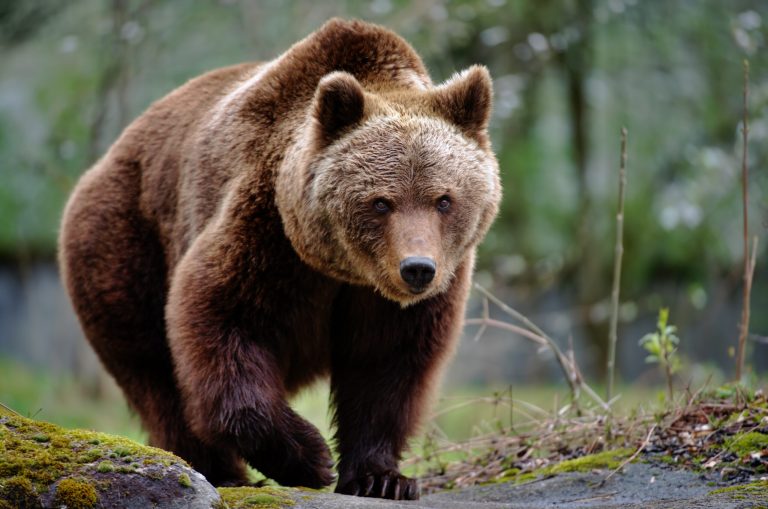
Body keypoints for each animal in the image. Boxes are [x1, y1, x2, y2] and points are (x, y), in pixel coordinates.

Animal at [58, 18, 500, 500]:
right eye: (381, 202)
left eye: (444, 199)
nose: (417, 268)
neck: (341, 269)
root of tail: (105, 161)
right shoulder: (266, 233)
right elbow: (222, 321)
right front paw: (310, 457)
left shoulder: (404, 295)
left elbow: (387, 365)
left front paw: (381, 478)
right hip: (125, 241)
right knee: (155, 371)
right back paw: (219, 470)